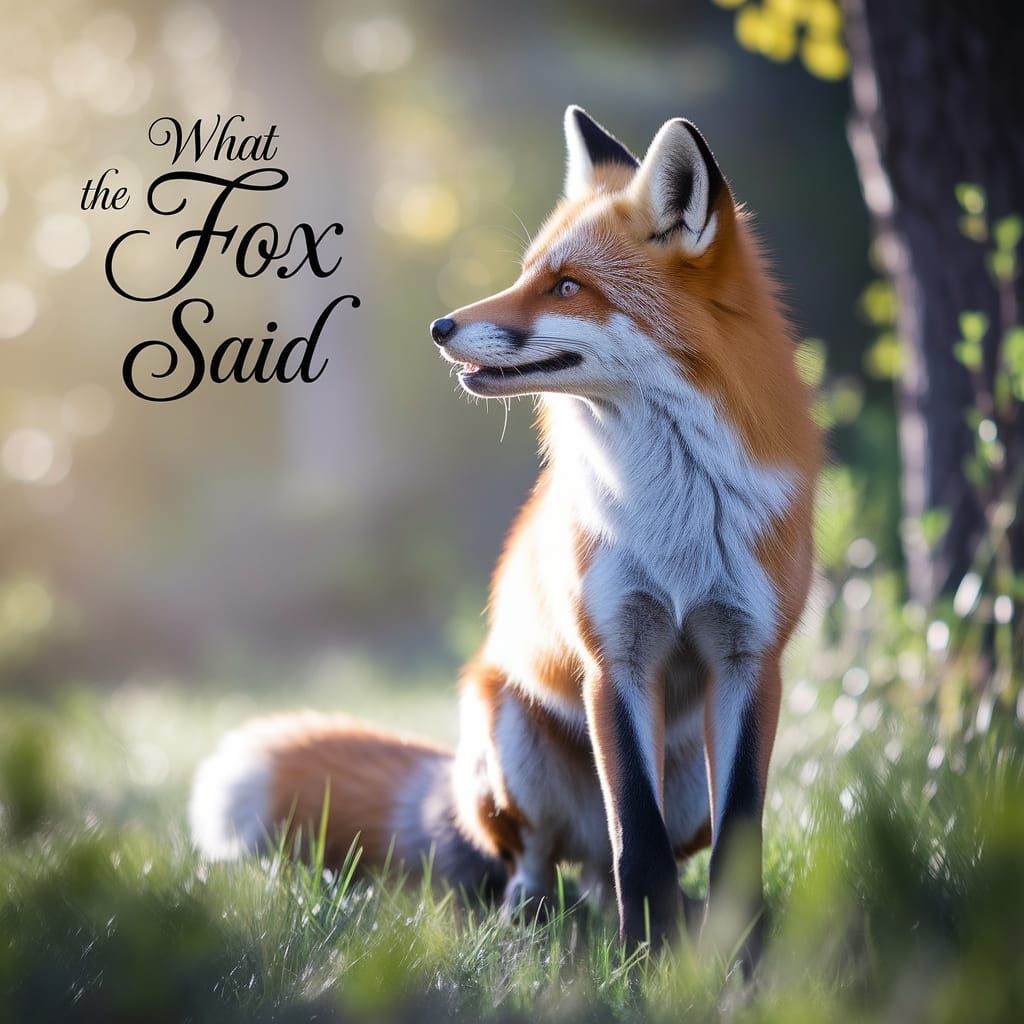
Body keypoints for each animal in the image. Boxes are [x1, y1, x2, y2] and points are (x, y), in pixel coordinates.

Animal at [190, 106, 821, 953]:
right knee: (552, 857)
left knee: (606, 867)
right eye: (526, 275)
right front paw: (646, 962)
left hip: (687, 775)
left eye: (567, 286)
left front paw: (735, 958)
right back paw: (537, 918)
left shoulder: (751, 659)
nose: (440, 325)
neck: (680, 510)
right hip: (504, 721)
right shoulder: (614, 659)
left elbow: (735, 840)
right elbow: (636, 837)